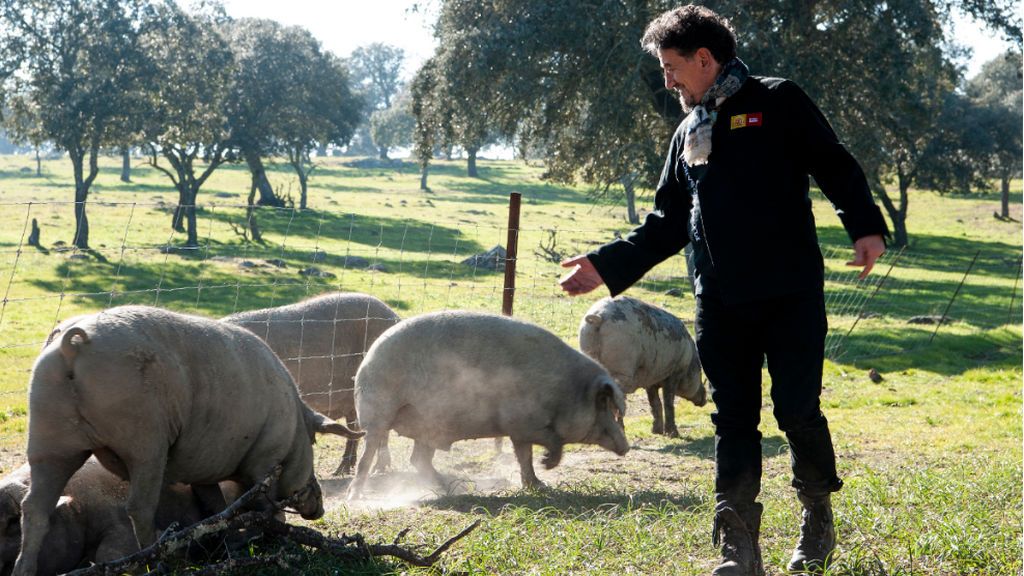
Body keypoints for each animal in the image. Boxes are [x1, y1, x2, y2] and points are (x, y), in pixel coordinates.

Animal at [348, 309, 626, 498]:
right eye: (604, 406)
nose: (626, 446)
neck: (567, 390)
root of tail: (365, 362)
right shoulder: (523, 422)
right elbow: (552, 443)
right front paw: (547, 463)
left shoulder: (519, 431)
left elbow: (524, 457)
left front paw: (539, 485)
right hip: (377, 412)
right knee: (369, 455)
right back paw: (355, 496)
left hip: (428, 426)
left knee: (418, 460)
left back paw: (451, 487)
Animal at [581, 295, 708, 434]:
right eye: (700, 371)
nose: (705, 398)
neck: (690, 358)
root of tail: (598, 317)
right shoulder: (675, 373)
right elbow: (668, 402)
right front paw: (673, 434)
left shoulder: (650, 381)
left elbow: (655, 403)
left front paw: (656, 432)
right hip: (622, 368)